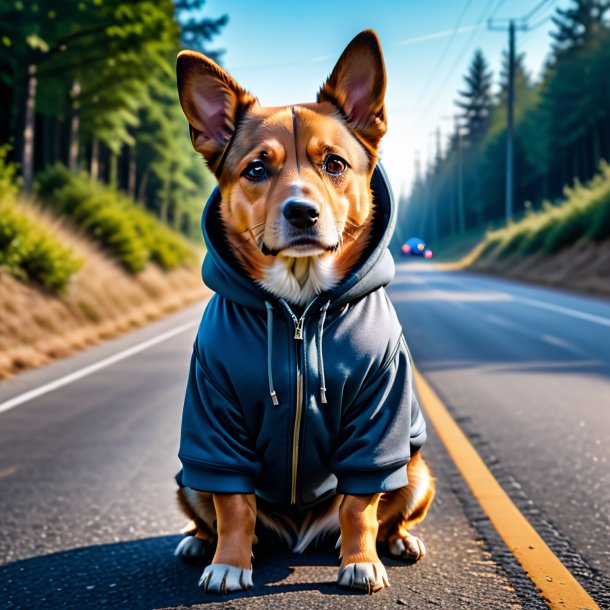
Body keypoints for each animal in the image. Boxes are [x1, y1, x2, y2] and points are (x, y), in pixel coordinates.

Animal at [173, 29, 434, 592]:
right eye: (256, 169)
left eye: (334, 163)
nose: (302, 212)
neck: (298, 309)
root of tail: (299, 533)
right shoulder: (213, 414)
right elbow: (234, 506)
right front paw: (229, 563)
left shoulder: (379, 415)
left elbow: (360, 505)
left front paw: (360, 560)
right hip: (186, 474)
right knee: (211, 510)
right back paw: (199, 543)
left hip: (417, 469)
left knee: (390, 511)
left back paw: (397, 541)